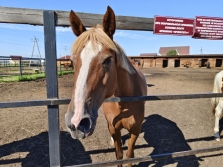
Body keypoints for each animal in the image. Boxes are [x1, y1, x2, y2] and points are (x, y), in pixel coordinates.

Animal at [65, 5, 147, 166]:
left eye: (108, 60)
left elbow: (129, 155)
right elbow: (119, 155)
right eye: (72, 61)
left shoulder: (135, 129)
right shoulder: (114, 128)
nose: (76, 122)